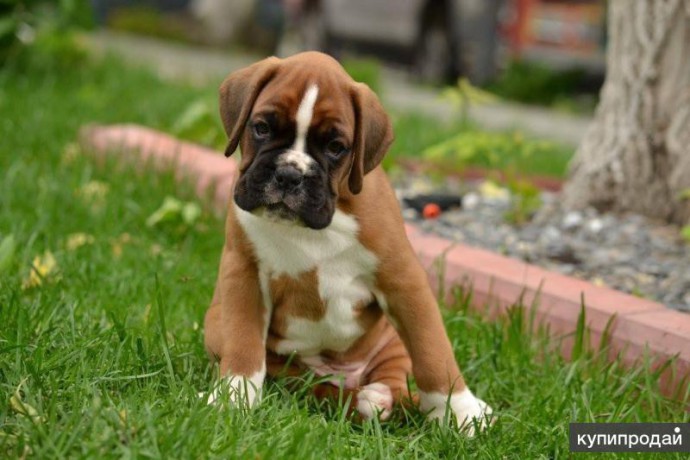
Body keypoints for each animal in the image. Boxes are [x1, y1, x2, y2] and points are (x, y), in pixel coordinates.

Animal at [202, 51, 492, 434]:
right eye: (261, 128)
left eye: (336, 147)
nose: (290, 174)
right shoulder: (245, 274)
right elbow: (243, 341)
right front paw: (233, 398)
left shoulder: (404, 282)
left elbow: (433, 351)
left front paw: (461, 411)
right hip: (228, 333)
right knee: (314, 388)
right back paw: (365, 401)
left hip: (391, 344)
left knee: (398, 388)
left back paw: (388, 399)